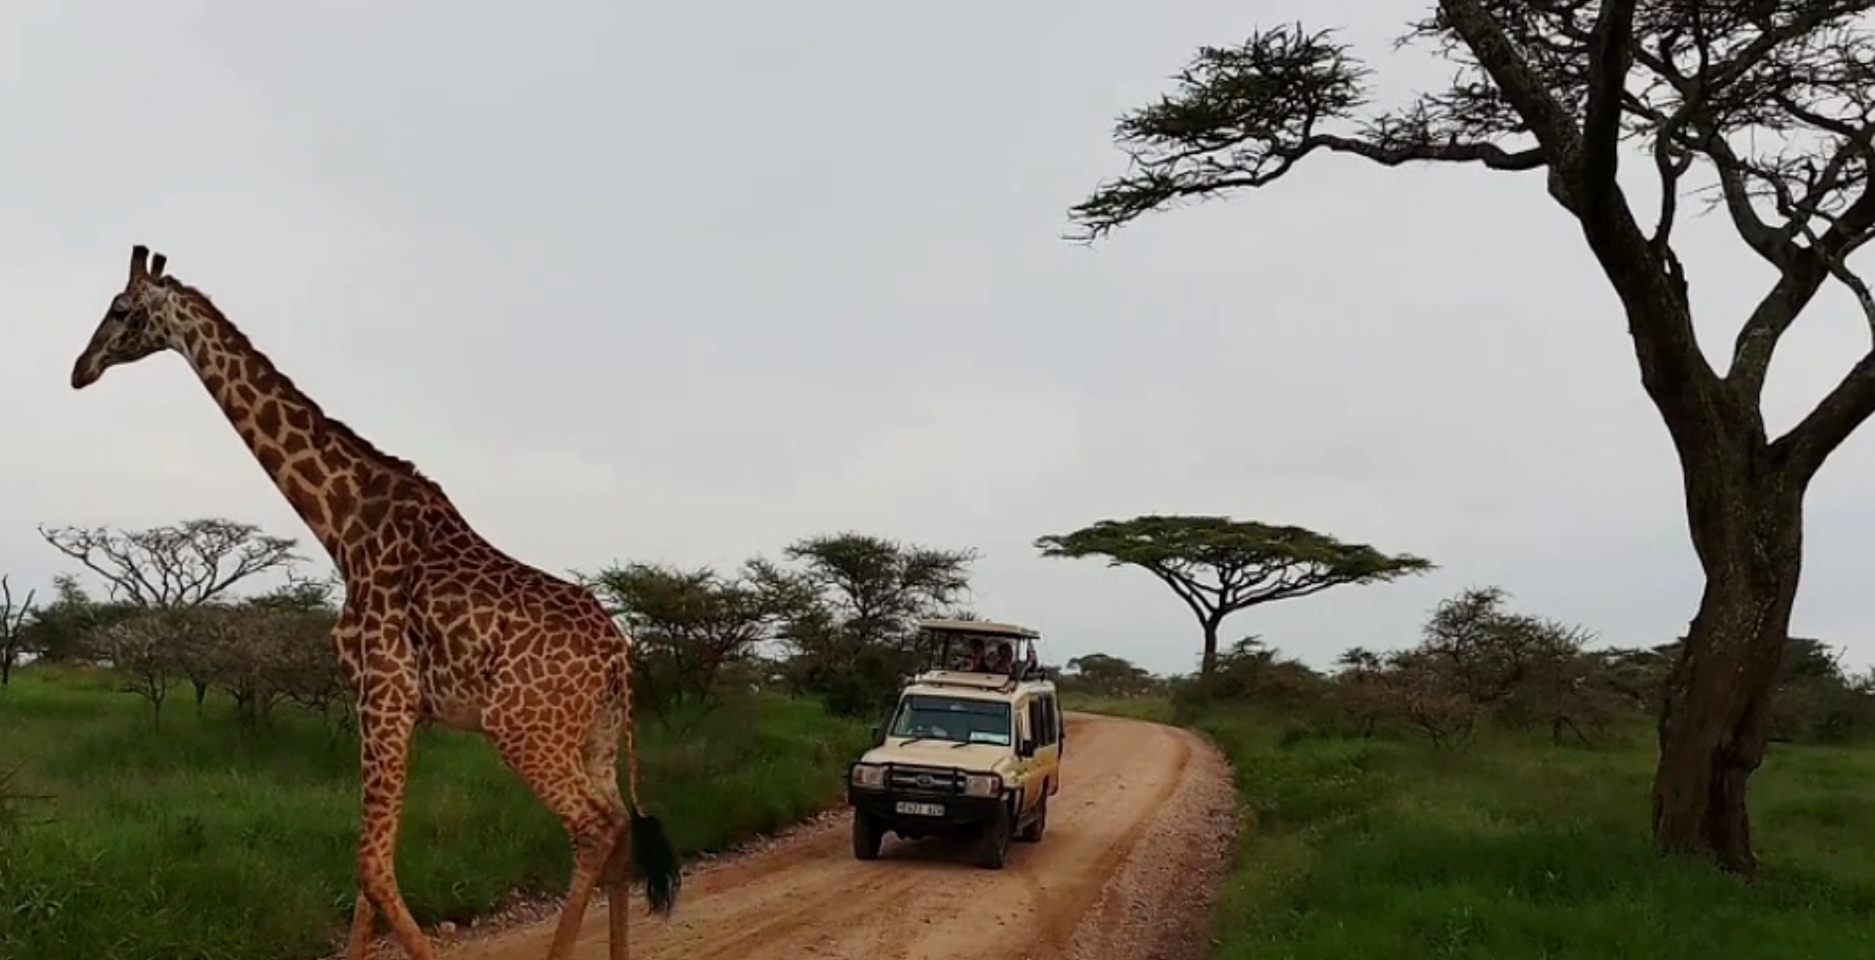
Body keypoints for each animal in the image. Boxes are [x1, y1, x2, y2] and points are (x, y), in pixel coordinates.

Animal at [67, 247, 682, 960]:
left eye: (120, 309)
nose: (79, 369)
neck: (343, 525)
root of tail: (618, 657)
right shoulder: (394, 704)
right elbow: (367, 871)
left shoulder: (382, 692)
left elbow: (371, 864)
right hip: (595, 736)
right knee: (619, 827)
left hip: (524, 729)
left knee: (594, 829)